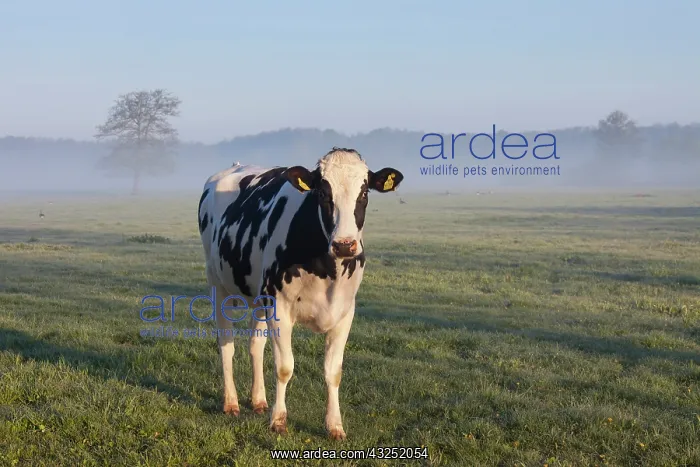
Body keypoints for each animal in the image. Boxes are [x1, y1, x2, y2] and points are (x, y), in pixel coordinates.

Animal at [197, 148, 403, 440]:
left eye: (364, 193)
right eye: (322, 193)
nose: (345, 245)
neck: (328, 268)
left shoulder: (345, 312)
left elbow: (333, 371)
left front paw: (335, 425)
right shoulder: (279, 307)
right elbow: (285, 367)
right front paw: (279, 420)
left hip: (260, 297)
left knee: (255, 345)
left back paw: (258, 400)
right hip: (219, 285)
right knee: (226, 344)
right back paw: (231, 402)